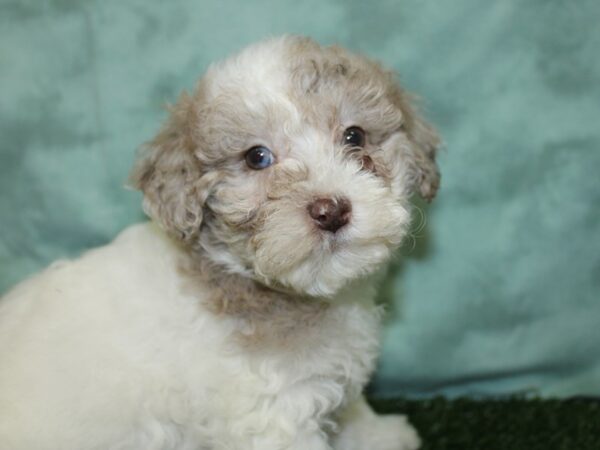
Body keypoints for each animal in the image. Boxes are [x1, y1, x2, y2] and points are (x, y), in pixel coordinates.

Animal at [0, 36, 440, 450]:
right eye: (256, 157)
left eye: (354, 136)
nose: (330, 211)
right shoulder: (271, 414)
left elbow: (350, 412)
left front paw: (380, 434)